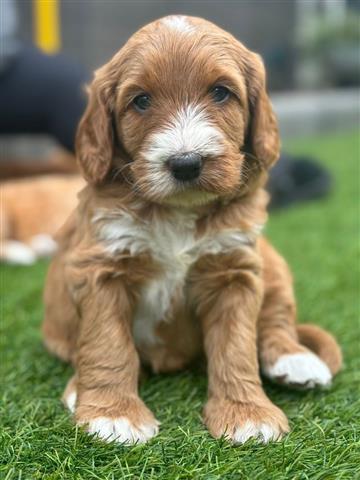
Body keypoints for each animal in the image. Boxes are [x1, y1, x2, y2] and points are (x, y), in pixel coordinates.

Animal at [42, 15, 340, 446]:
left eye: (220, 93)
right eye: (141, 101)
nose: (185, 162)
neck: (178, 211)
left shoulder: (234, 271)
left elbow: (236, 347)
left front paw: (247, 413)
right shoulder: (102, 267)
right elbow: (108, 344)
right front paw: (114, 415)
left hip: (270, 262)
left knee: (276, 320)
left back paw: (296, 359)